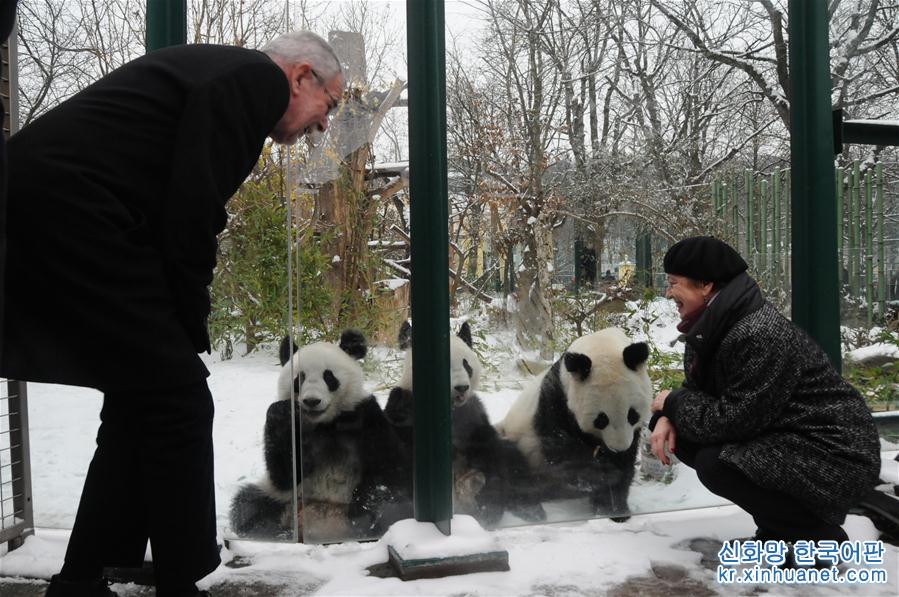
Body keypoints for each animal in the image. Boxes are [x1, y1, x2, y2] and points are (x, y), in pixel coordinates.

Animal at [232, 330, 414, 540]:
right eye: (299, 379)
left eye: (329, 377)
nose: (311, 401)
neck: (326, 423)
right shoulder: (301, 432)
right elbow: (284, 475)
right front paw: (281, 412)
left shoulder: (364, 416)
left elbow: (391, 469)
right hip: (283, 498)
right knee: (248, 504)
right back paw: (279, 532)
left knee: (393, 505)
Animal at [384, 322, 544, 528]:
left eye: (466, 364)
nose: (461, 388)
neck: (450, 408)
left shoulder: (474, 415)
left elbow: (487, 449)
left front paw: (490, 505)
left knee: (512, 459)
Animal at [496, 328, 652, 520]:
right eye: (602, 419)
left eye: (632, 415)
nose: (618, 448)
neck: (599, 344)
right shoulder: (556, 399)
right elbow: (561, 450)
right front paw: (594, 477)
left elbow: (623, 465)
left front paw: (614, 510)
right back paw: (529, 508)